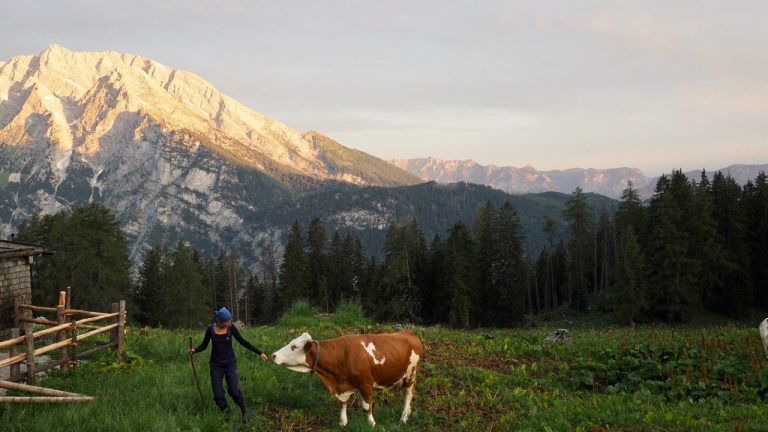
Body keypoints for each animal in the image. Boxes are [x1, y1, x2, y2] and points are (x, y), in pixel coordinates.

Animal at [272, 330, 426, 426]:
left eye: (294, 346)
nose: (273, 355)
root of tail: (407, 332)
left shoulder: (366, 384)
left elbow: (366, 406)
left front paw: (371, 423)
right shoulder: (342, 386)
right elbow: (343, 403)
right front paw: (342, 422)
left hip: (411, 374)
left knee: (408, 396)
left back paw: (404, 417)